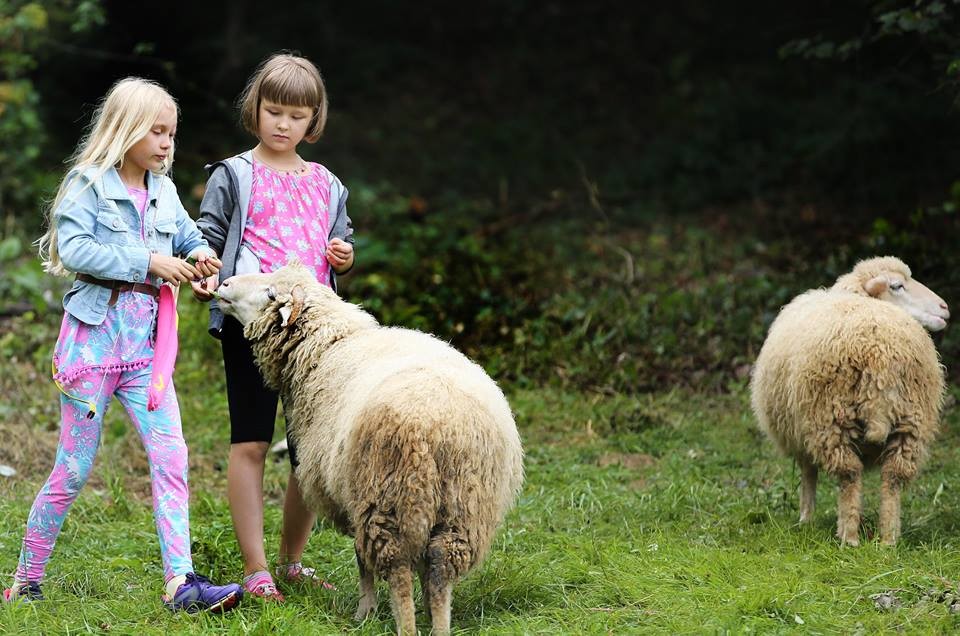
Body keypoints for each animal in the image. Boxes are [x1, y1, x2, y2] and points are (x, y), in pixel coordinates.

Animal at [216, 262, 524, 635]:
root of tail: (434, 426)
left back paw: (404, 624)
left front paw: (366, 610)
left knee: (399, 570)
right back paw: (438, 623)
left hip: (386, 497)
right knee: (438, 565)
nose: (225, 283)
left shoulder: (351, 496)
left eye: (271, 293)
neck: (327, 347)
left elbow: (361, 560)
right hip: (461, 506)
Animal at [750, 256, 949, 546]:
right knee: (893, 477)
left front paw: (806, 518)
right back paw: (887, 539)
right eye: (897, 286)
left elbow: (808, 474)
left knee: (848, 475)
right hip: (911, 423)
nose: (945, 308)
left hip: (831, 418)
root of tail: (880, 355)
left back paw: (848, 536)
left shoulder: (803, 430)